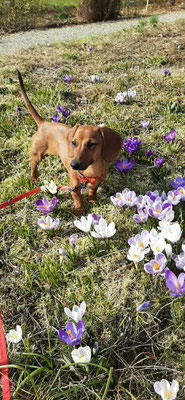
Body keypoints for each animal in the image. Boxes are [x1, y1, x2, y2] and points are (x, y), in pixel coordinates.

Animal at [18, 72, 123, 216]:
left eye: (91, 144)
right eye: (73, 142)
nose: (73, 165)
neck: (90, 172)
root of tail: (44, 124)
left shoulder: (97, 182)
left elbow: (93, 191)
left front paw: (93, 200)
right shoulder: (74, 187)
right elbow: (78, 200)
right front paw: (80, 211)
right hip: (37, 154)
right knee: (33, 164)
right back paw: (34, 177)